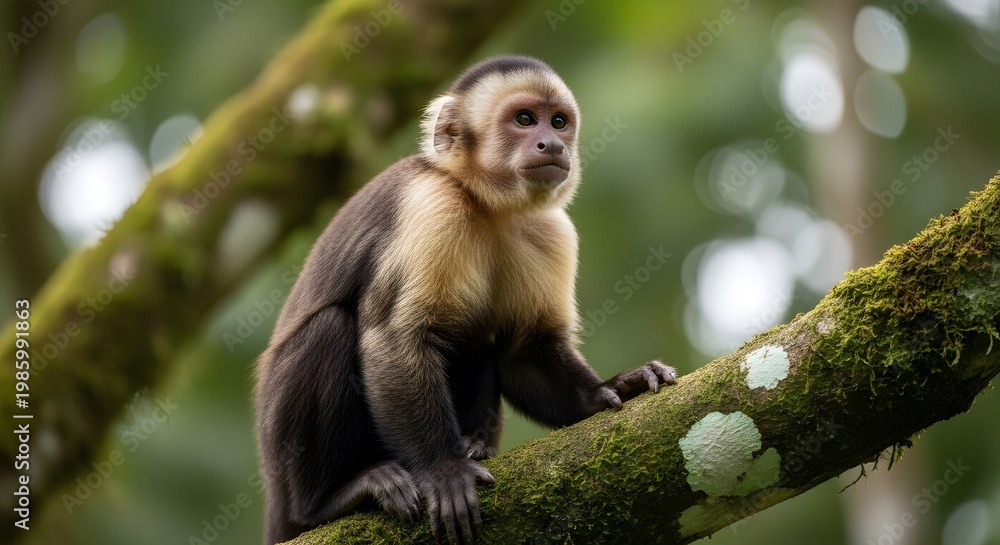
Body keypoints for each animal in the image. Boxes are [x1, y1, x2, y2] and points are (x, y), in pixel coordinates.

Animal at [254, 55, 677, 545]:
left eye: (559, 122)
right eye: (524, 120)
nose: (552, 144)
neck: (484, 201)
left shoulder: (551, 230)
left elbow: (523, 352)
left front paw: (611, 388)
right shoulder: (430, 206)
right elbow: (395, 339)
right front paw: (444, 469)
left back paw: (475, 444)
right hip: (280, 467)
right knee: (331, 327)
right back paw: (327, 501)